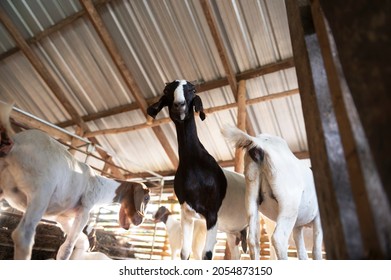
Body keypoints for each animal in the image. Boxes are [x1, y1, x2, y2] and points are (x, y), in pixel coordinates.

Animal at [0, 101, 151, 260]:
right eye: (146, 198)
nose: (140, 220)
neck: (100, 185)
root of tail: (15, 143)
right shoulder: (84, 210)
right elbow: (66, 249)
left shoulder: (62, 218)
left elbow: (77, 242)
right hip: (41, 193)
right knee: (23, 235)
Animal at [147, 80, 248, 260]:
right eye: (166, 90)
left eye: (192, 90)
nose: (179, 105)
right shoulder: (186, 214)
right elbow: (185, 252)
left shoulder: (212, 215)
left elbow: (206, 254)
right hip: (232, 231)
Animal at [222, 125, 324, 260]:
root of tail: (259, 144)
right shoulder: (318, 219)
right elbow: (316, 251)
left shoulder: (298, 225)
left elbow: (302, 253)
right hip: (288, 206)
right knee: (278, 239)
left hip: (251, 194)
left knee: (253, 241)